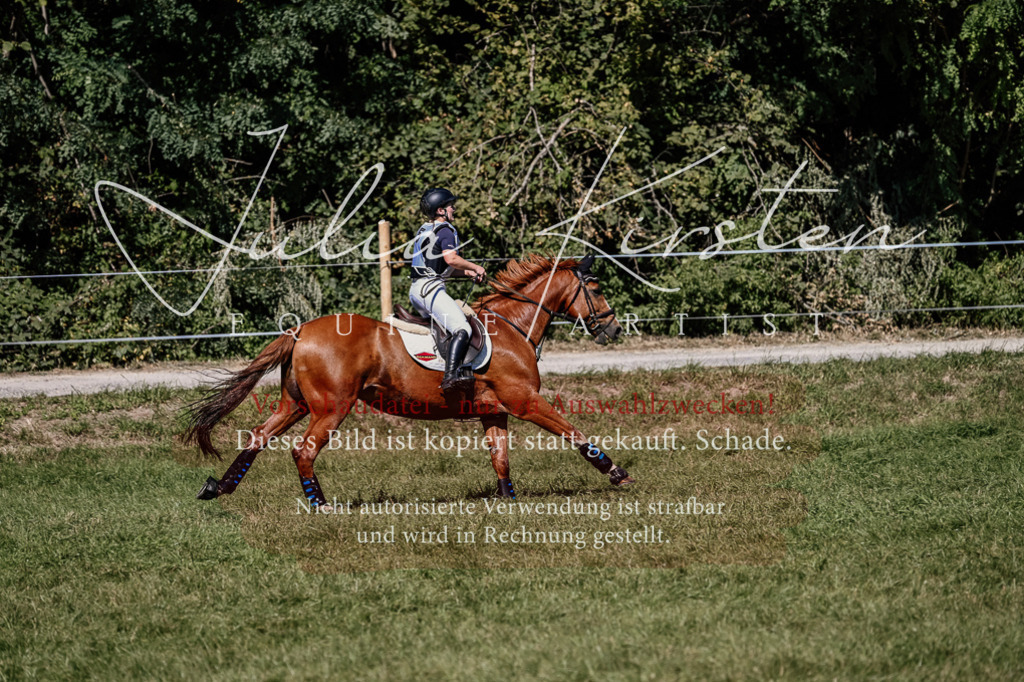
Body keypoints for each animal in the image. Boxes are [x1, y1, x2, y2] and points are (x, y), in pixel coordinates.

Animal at [184, 254, 634, 506]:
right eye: (595, 288)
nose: (613, 329)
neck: (513, 326)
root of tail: (301, 330)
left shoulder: (496, 412)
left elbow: (500, 458)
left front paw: (508, 500)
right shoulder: (526, 402)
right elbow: (574, 434)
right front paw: (617, 473)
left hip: (294, 403)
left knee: (258, 437)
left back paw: (217, 488)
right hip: (332, 406)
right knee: (303, 451)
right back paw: (320, 504)